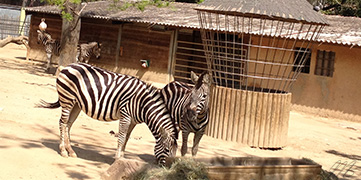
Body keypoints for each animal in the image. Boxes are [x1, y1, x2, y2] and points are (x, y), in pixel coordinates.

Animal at [36, 63, 177, 165]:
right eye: (167, 150)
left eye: (176, 153)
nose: (169, 168)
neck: (143, 103)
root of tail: (67, 66)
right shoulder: (125, 115)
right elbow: (121, 137)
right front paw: (118, 159)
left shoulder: (133, 121)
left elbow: (126, 138)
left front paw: (123, 158)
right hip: (67, 99)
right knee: (62, 123)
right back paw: (63, 151)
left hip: (76, 104)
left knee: (68, 125)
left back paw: (70, 151)